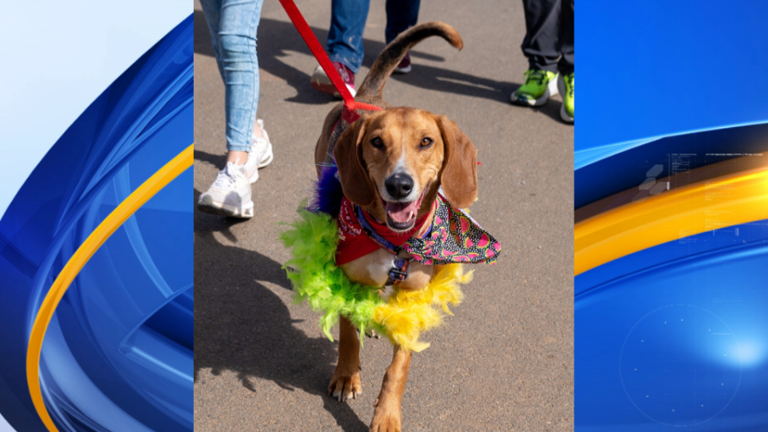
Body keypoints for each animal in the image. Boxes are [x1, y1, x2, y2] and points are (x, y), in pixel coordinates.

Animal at [312, 22, 474, 430]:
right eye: (376, 142)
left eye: (426, 141)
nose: (399, 185)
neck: (394, 241)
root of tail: (365, 100)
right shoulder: (348, 278)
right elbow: (348, 336)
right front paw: (346, 376)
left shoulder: (413, 298)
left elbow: (399, 366)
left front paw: (386, 415)